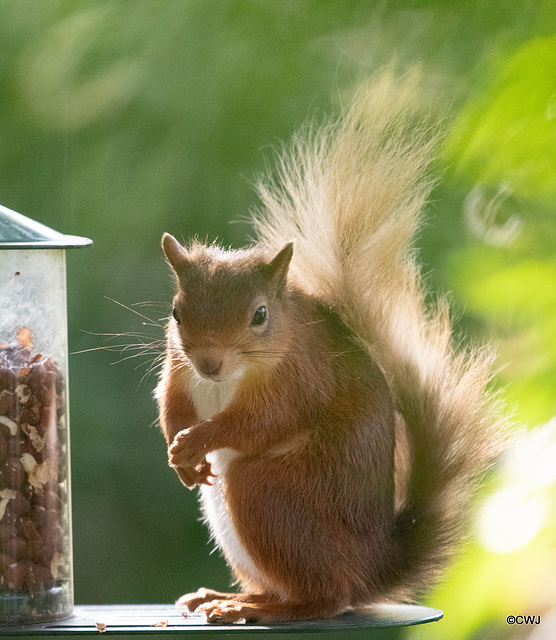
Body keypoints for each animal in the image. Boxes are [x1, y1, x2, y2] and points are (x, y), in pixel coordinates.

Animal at [155, 72, 508, 624]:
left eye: (260, 315)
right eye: (175, 312)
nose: (210, 364)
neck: (229, 377)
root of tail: (371, 570)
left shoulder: (300, 378)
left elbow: (262, 421)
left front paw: (197, 439)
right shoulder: (178, 367)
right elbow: (169, 403)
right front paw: (179, 450)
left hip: (267, 494)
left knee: (326, 597)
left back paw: (267, 609)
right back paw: (230, 598)